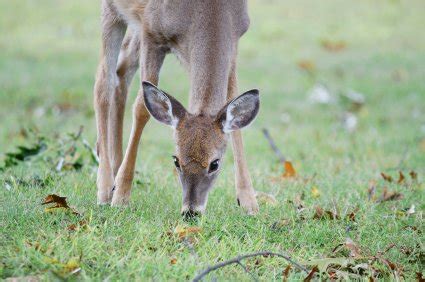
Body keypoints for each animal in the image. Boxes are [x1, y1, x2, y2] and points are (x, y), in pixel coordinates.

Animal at [93, 0, 258, 217]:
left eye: (215, 163)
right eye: (176, 160)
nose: (191, 211)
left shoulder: (236, 38)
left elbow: (234, 107)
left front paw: (249, 201)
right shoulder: (151, 31)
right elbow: (142, 108)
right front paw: (121, 196)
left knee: (121, 70)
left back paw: (114, 167)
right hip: (112, 10)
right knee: (104, 80)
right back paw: (105, 188)